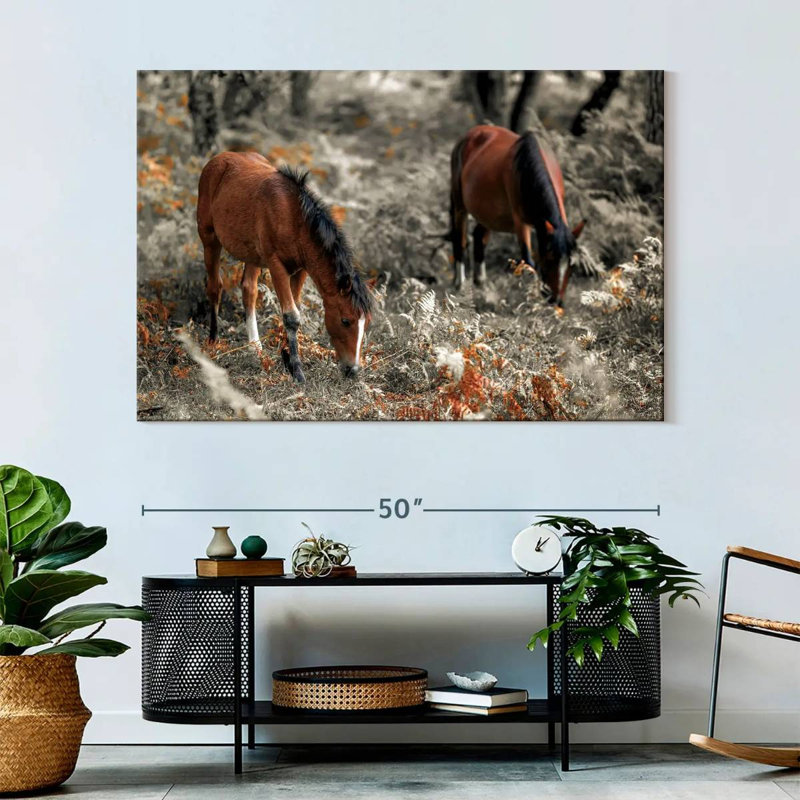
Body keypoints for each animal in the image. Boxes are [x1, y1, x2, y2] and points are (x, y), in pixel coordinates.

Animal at [196, 151, 373, 383]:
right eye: (345, 321)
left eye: (366, 323)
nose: (353, 369)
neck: (292, 218)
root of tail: (218, 159)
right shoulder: (276, 266)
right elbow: (291, 316)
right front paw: (297, 370)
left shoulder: (301, 270)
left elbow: (293, 309)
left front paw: (287, 356)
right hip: (209, 239)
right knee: (214, 287)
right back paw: (213, 341)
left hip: (252, 255)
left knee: (249, 291)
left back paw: (255, 347)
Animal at [449, 124, 585, 306]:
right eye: (550, 259)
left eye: (573, 264)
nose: (556, 301)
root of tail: (470, 134)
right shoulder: (522, 223)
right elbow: (528, 260)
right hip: (460, 207)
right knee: (460, 241)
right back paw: (460, 284)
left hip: (487, 214)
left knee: (479, 236)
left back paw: (481, 284)